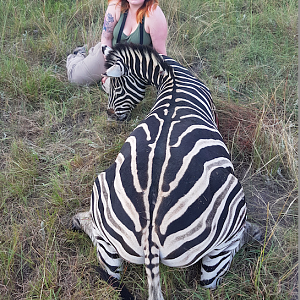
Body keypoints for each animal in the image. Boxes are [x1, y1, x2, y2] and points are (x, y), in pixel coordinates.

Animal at [71, 42, 262, 300]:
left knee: (109, 267)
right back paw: (253, 232)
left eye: (116, 86)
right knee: (211, 282)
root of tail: (150, 235)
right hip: (230, 214)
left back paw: (77, 220)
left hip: (101, 194)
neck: (171, 77)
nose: (110, 115)